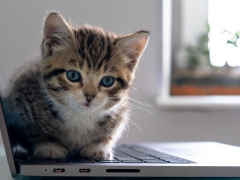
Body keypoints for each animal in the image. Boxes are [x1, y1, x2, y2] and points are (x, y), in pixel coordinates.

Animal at [2, 12, 149, 159]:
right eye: (73, 75)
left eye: (107, 81)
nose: (89, 96)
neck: (80, 117)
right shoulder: (20, 95)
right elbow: (34, 130)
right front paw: (49, 146)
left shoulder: (121, 111)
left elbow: (110, 132)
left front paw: (98, 147)